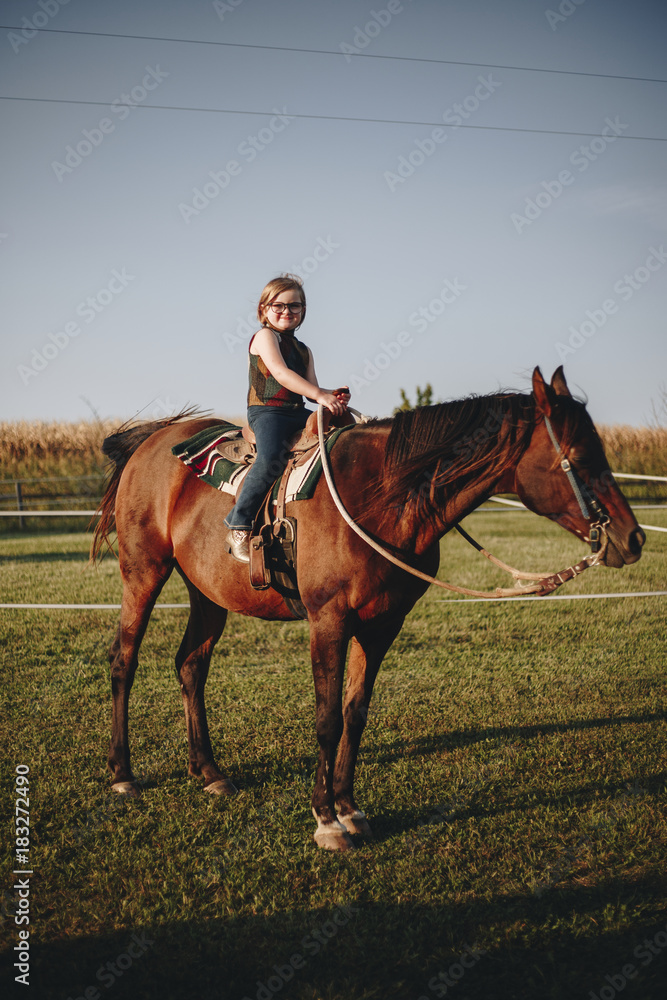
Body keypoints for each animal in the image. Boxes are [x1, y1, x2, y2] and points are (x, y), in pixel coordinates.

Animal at [91, 368, 644, 852]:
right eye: (578, 456)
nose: (633, 537)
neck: (379, 498)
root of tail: (153, 439)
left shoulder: (381, 626)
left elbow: (355, 714)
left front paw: (350, 810)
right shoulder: (329, 621)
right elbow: (327, 719)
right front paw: (326, 822)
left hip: (207, 593)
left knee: (191, 665)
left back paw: (209, 772)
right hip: (143, 572)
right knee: (124, 661)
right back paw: (122, 775)